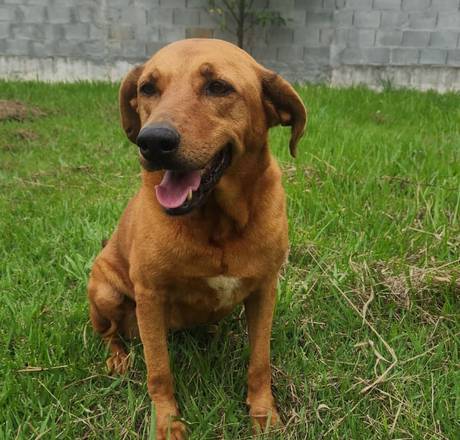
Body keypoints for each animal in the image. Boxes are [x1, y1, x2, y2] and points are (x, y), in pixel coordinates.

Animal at [87, 38, 306, 439]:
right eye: (148, 88)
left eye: (218, 86)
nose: (152, 142)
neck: (217, 224)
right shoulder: (150, 294)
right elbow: (159, 371)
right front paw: (166, 422)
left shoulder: (265, 289)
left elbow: (260, 361)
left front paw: (264, 414)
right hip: (106, 292)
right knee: (110, 334)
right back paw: (118, 358)